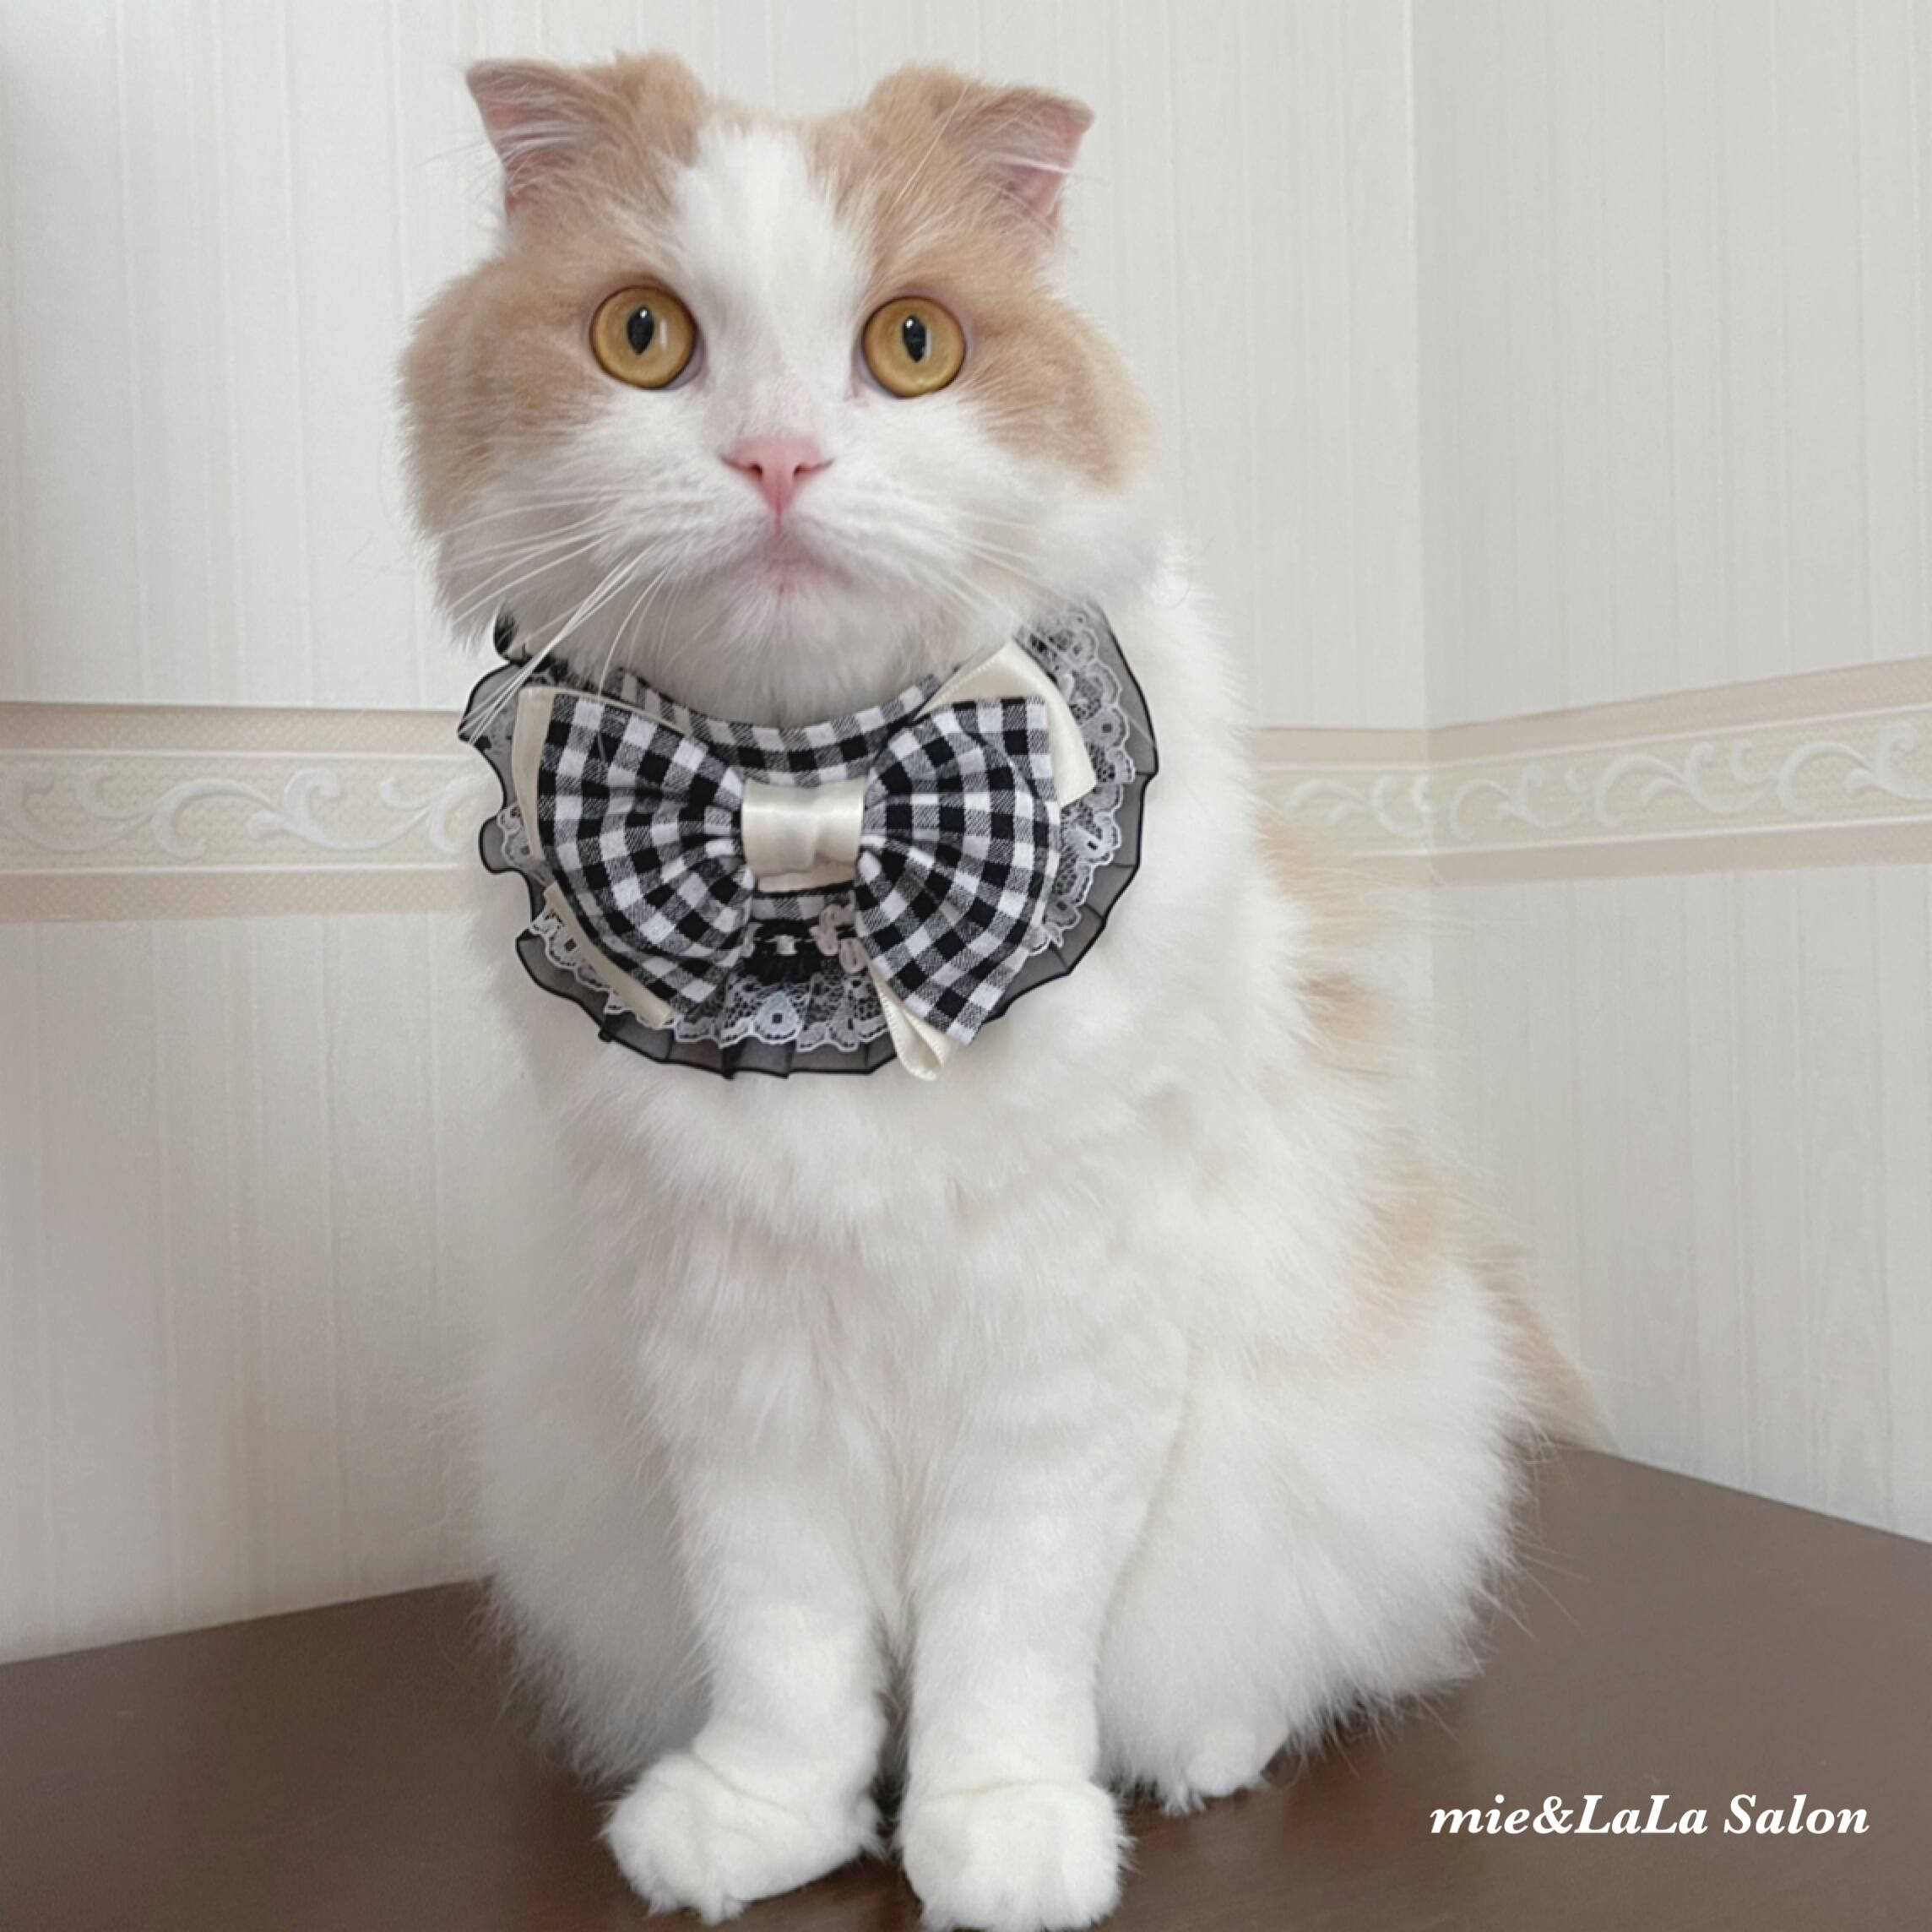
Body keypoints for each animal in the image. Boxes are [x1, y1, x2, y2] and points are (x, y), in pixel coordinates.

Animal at [401, 53, 1584, 1932]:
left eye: (910, 347)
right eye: (644, 337)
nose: (779, 458)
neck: (812, 813)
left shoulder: (1062, 1346)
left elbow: (1007, 1641)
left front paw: (1000, 1830)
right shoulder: (732, 1365)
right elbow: (786, 1648)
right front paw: (767, 1819)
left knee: (1286, 1663)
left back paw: (1206, 1752)